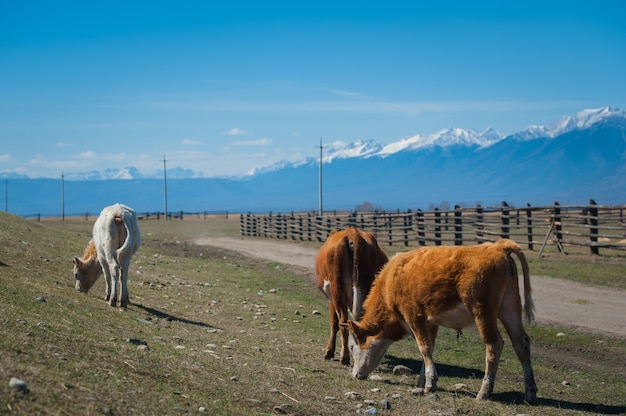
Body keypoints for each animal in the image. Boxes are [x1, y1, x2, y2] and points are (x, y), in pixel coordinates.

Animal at [314, 226, 388, 366]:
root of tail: (354, 234)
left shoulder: (331, 299)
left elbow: (334, 323)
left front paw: (329, 351)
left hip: (337, 290)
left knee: (343, 322)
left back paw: (345, 357)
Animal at [346, 239, 536, 404]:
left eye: (352, 346)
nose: (355, 374)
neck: (391, 280)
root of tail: (499, 246)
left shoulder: (414, 317)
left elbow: (424, 347)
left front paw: (430, 384)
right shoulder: (431, 322)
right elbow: (429, 347)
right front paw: (423, 379)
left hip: (483, 312)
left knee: (494, 344)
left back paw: (484, 391)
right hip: (510, 309)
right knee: (521, 343)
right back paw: (530, 392)